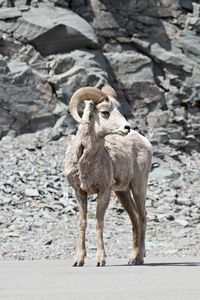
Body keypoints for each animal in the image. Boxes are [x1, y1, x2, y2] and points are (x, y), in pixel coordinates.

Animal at [65, 85, 152, 266]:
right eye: (105, 112)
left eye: (118, 109)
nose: (127, 127)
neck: (85, 162)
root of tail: (146, 142)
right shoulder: (79, 192)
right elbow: (82, 223)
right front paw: (79, 260)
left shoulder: (103, 191)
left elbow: (99, 223)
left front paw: (100, 260)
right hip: (122, 192)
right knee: (134, 218)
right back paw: (132, 258)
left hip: (138, 186)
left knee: (142, 216)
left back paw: (139, 258)